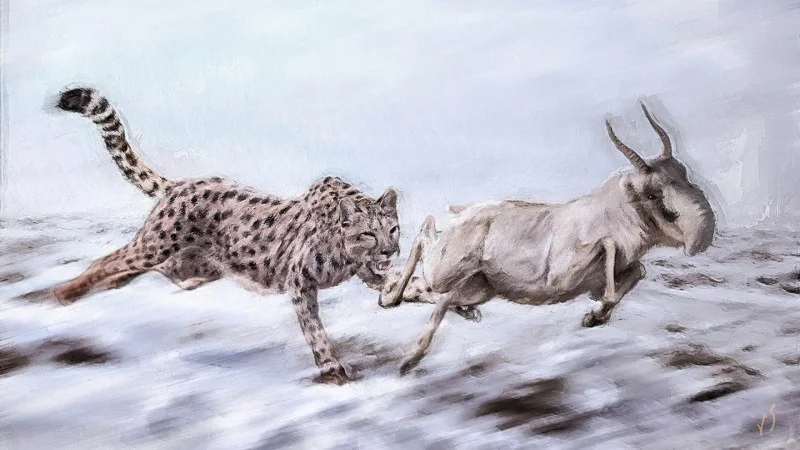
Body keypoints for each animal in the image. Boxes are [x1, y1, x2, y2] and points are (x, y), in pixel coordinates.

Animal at [38, 85, 402, 385]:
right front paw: (332, 368)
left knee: (128, 271)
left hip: (191, 269)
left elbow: (379, 281)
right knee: (110, 260)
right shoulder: (300, 282)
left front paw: (397, 284)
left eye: (393, 229)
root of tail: (183, 184)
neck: (344, 255)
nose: (389, 250)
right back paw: (66, 292)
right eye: (369, 233)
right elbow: (314, 329)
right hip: (155, 246)